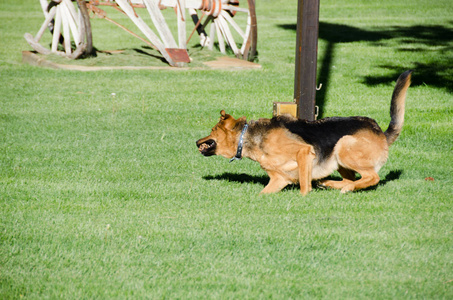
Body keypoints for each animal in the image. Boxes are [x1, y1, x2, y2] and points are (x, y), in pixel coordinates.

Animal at [196, 71, 412, 196]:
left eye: (212, 130)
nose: (197, 141)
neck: (248, 137)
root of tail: (380, 131)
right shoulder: (278, 179)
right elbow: (262, 194)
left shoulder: (304, 152)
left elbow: (303, 187)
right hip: (337, 157)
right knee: (352, 178)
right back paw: (330, 183)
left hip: (343, 145)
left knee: (372, 178)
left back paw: (344, 188)